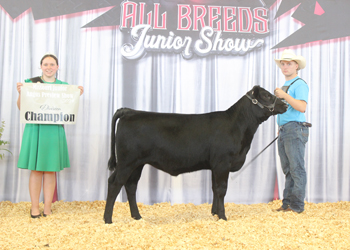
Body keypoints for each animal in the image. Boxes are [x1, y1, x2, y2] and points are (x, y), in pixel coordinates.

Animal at [104, 85, 288, 223]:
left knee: (131, 185)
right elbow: (222, 189)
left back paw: (137, 216)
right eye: (266, 95)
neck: (238, 126)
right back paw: (108, 219)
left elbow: (215, 188)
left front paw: (215, 213)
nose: (285, 105)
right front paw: (223, 216)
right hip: (127, 161)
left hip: (138, 163)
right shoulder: (223, 163)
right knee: (114, 183)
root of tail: (130, 111)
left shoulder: (215, 165)